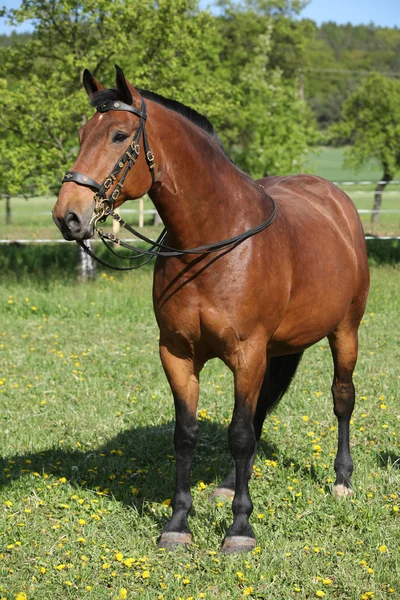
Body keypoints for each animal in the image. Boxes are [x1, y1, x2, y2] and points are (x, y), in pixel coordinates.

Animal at [52, 64, 368, 552]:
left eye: (119, 136)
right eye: (83, 134)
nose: (68, 216)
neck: (212, 242)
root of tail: (337, 203)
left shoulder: (247, 353)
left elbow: (238, 434)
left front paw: (240, 529)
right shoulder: (178, 353)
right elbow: (188, 435)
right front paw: (178, 522)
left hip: (345, 331)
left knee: (341, 399)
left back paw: (342, 481)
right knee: (259, 413)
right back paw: (228, 483)